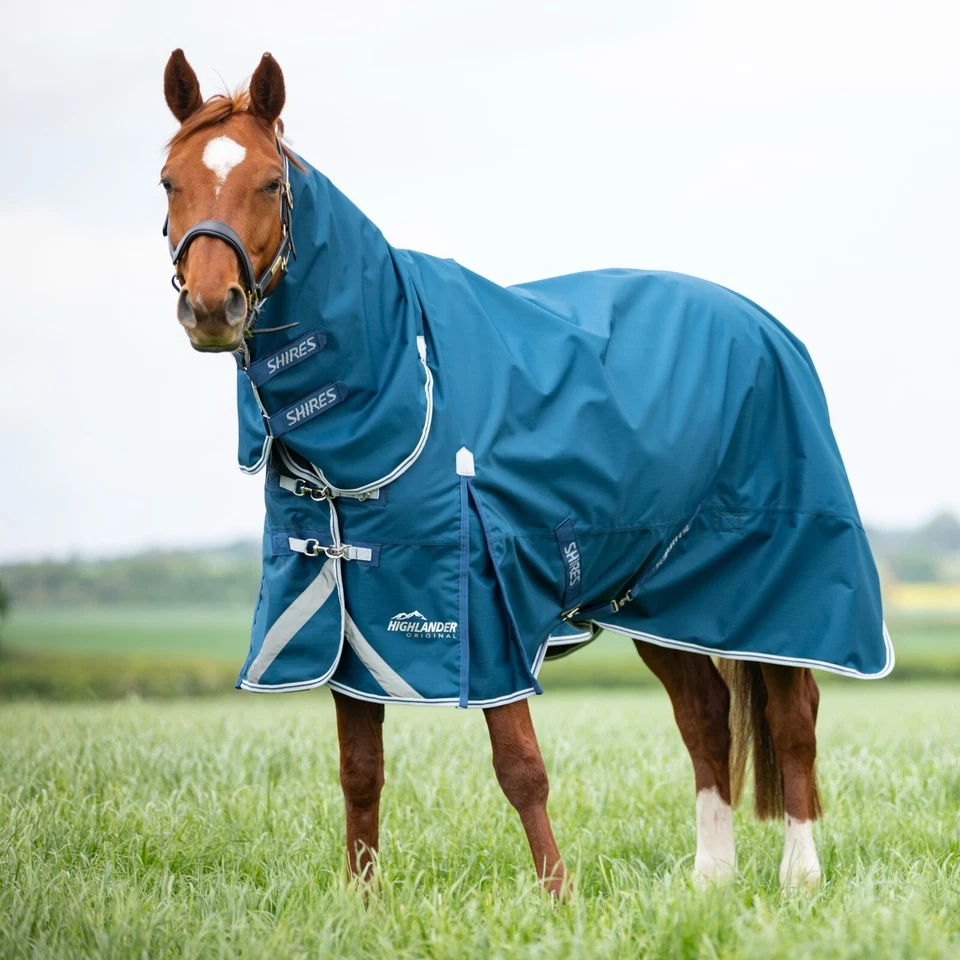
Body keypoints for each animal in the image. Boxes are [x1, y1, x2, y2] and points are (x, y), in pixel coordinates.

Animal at [159, 49, 890, 895]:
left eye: (270, 181)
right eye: (169, 180)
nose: (213, 307)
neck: (403, 383)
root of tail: (765, 326)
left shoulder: (484, 606)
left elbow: (520, 767)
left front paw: (558, 896)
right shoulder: (351, 617)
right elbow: (360, 771)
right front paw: (361, 901)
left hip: (778, 586)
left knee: (793, 718)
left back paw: (800, 876)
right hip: (662, 601)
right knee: (706, 717)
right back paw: (711, 880)